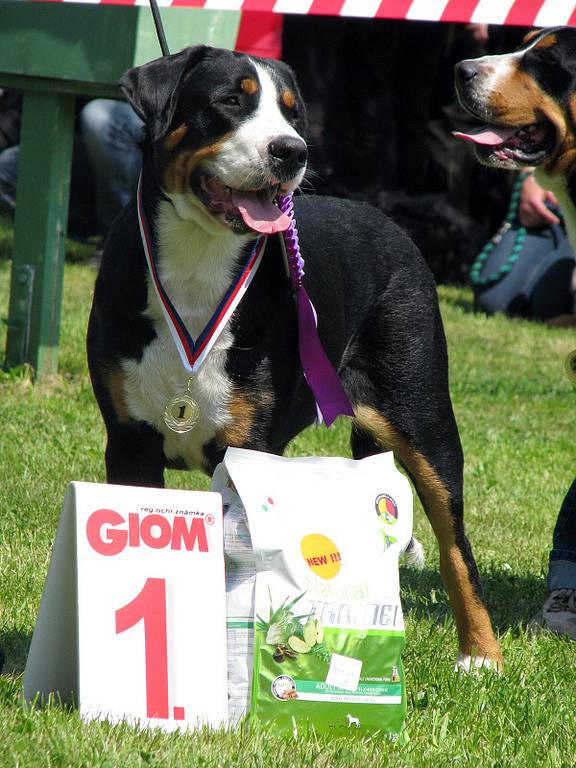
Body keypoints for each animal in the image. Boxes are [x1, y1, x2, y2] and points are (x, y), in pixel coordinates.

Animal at [88, 46, 502, 664]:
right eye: (230, 100)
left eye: (290, 113)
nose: (291, 151)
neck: (198, 265)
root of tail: (388, 221)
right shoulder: (130, 443)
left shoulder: (246, 447)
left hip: (422, 413)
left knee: (458, 544)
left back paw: (481, 656)